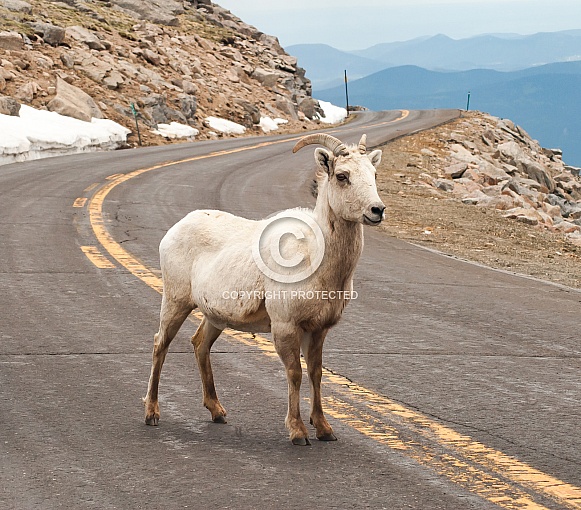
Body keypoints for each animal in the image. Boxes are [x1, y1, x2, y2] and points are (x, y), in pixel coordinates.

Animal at [142, 133, 382, 444]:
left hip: (214, 317)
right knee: (160, 344)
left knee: (200, 345)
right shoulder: (285, 327)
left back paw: (217, 412)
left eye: (374, 174)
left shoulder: (318, 330)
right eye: (342, 176)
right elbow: (295, 374)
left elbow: (316, 374)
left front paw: (325, 430)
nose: (377, 210)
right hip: (175, 302)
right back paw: (152, 413)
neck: (316, 257)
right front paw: (298, 432)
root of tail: (175, 229)